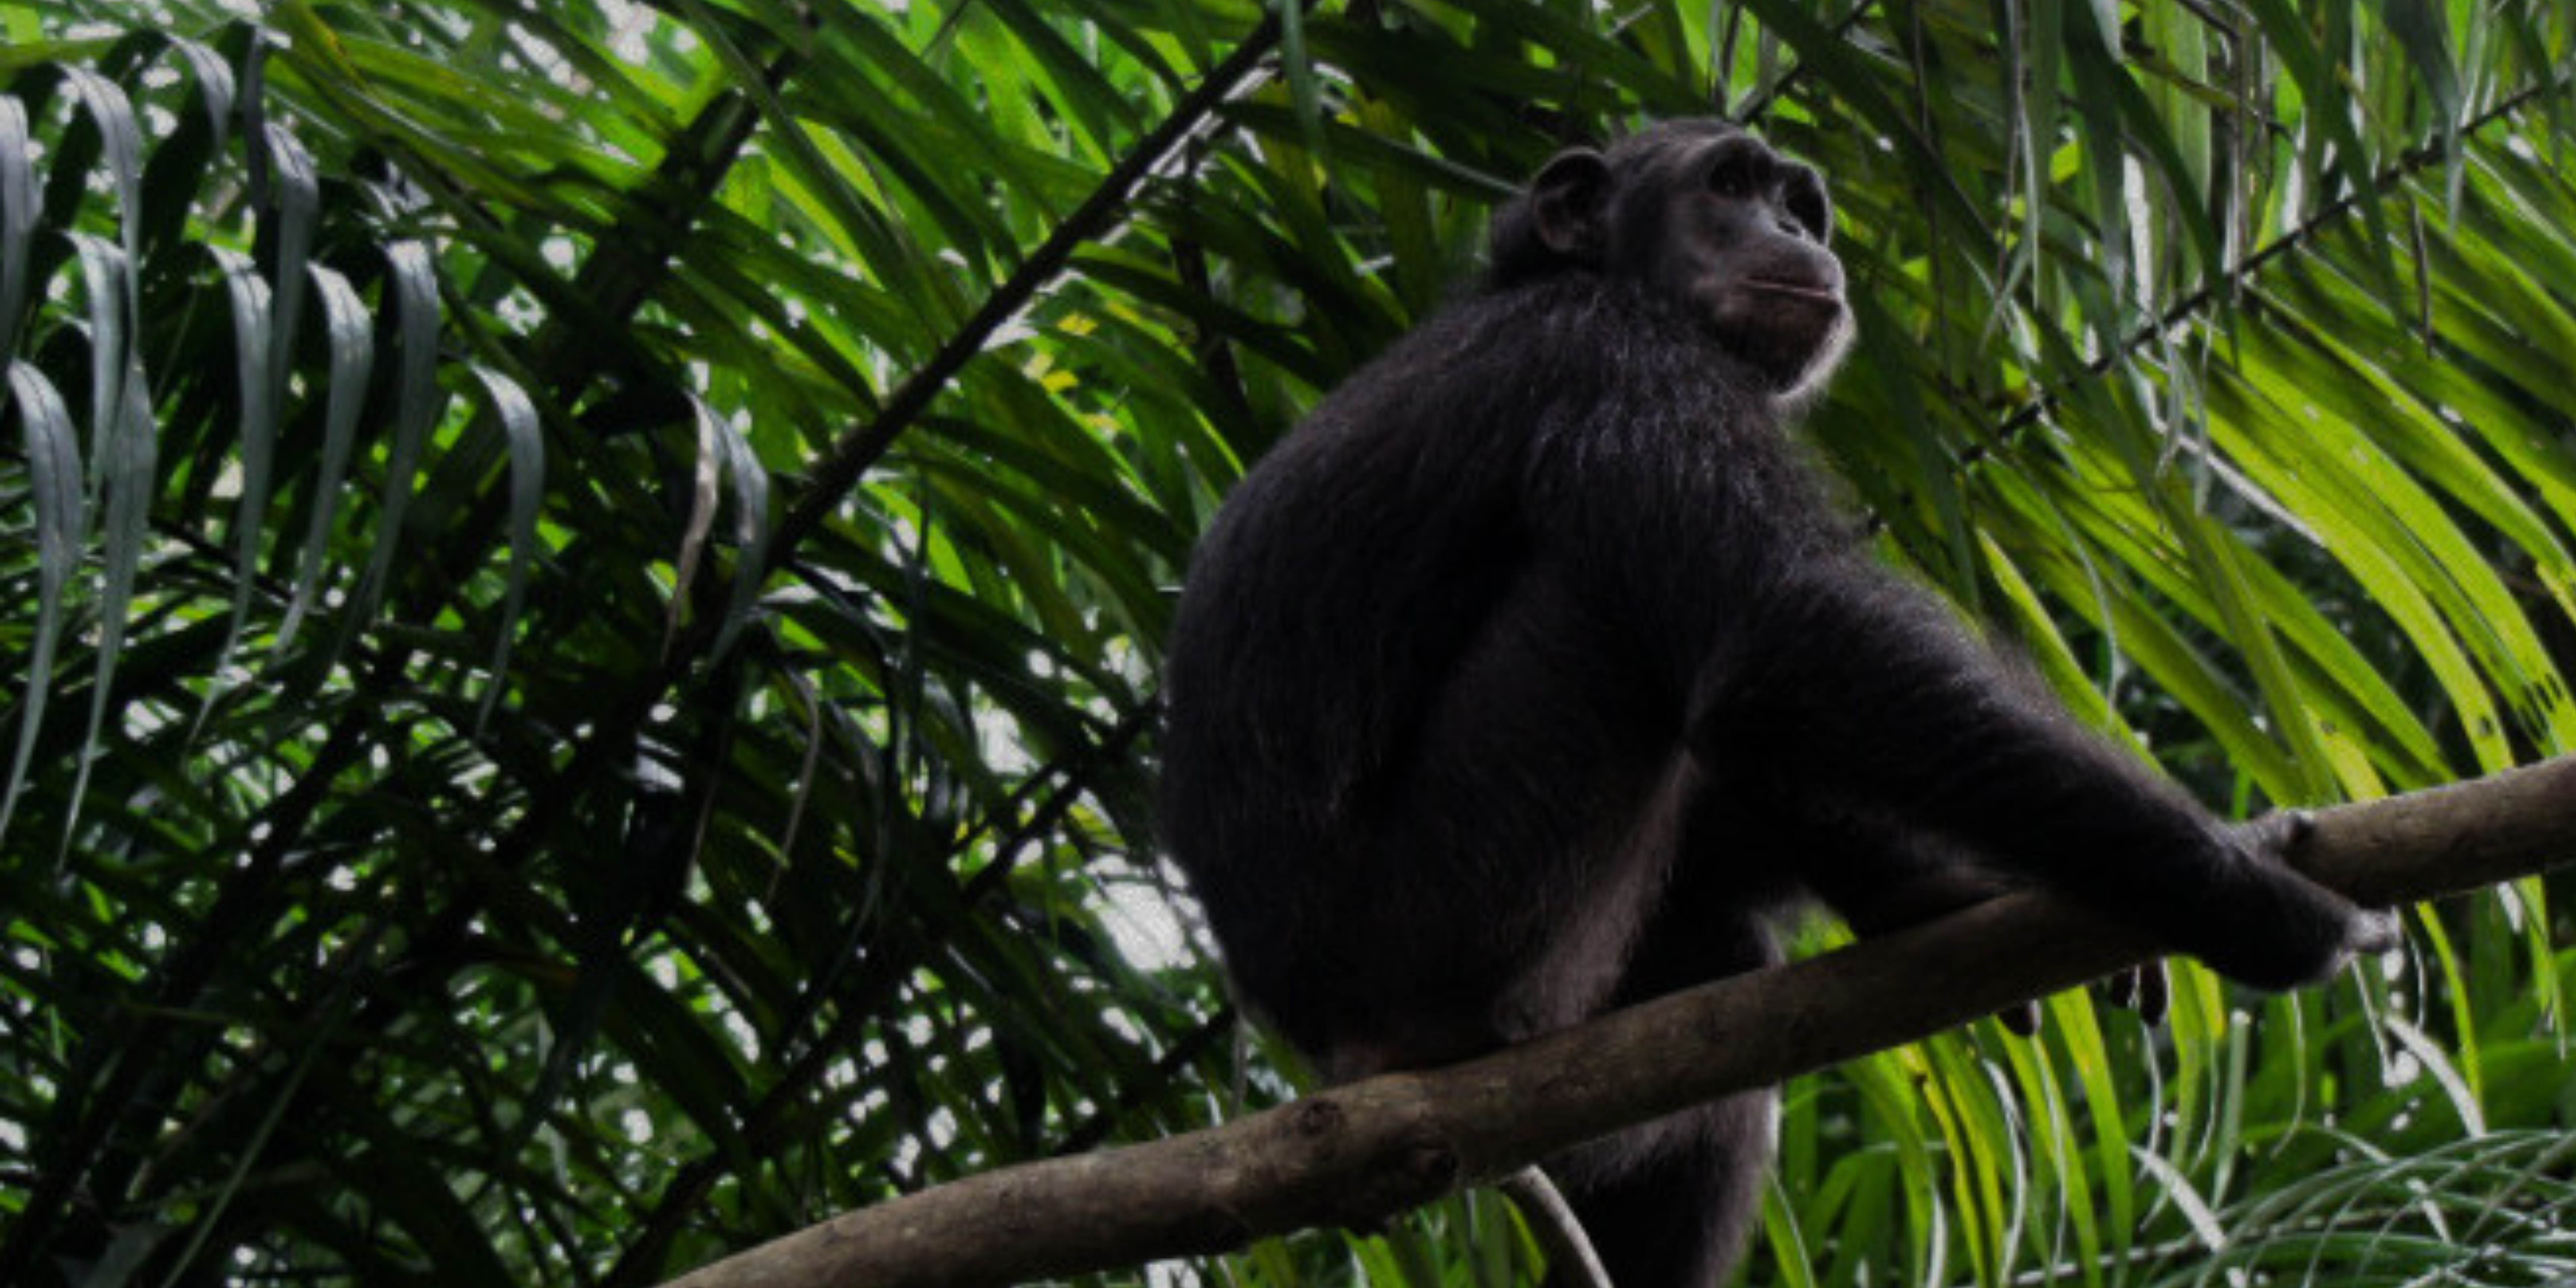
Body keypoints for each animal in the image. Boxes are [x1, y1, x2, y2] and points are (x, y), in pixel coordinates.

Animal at [1157, 120, 2398, 1288]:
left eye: (1799, 200)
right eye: (1728, 185)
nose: (1795, 231)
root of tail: (1334, 1059)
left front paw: (1959, 888)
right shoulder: (1623, 365)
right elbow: (1787, 631)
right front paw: (2265, 903)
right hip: (1460, 919)